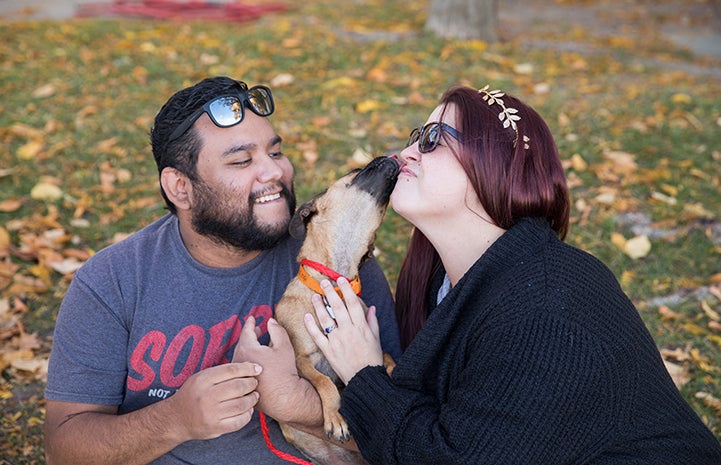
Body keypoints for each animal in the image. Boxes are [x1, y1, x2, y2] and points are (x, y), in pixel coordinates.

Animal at [274, 156, 400, 464]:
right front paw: (335, 416)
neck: (334, 281)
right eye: (355, 171)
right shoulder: (302, 360)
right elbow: (324, 382)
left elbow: (386, 356)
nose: (388, 157)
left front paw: (390, 372)